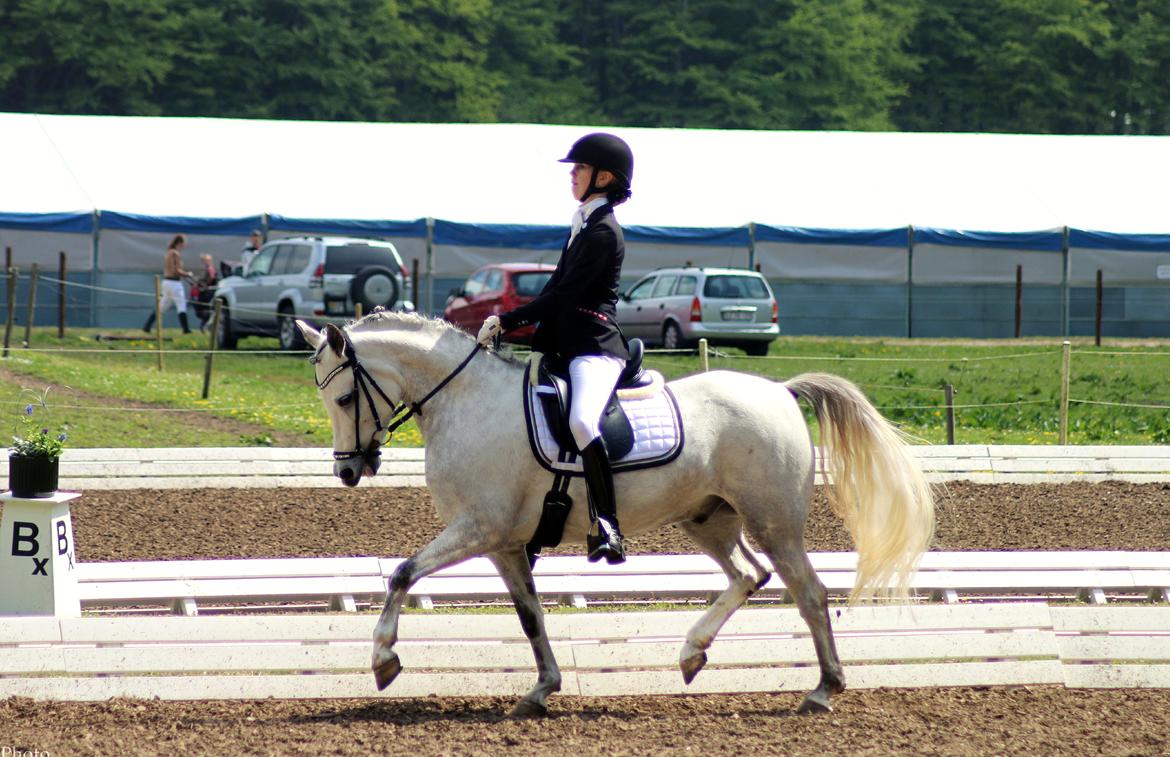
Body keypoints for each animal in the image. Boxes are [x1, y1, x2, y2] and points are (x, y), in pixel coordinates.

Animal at [295, 312, 935, 717]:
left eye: (345, 397)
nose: (349, 471)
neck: (465, 401)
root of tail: (779, 390)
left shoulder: (478, 529)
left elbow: (403, 573)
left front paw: (383, 660)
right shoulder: (504, 544)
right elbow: (530, 617)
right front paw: (542, 690)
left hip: (772, 520)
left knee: (808, 591)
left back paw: (823, 689)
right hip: (708, 518)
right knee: (749, 575)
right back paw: (692, 653)